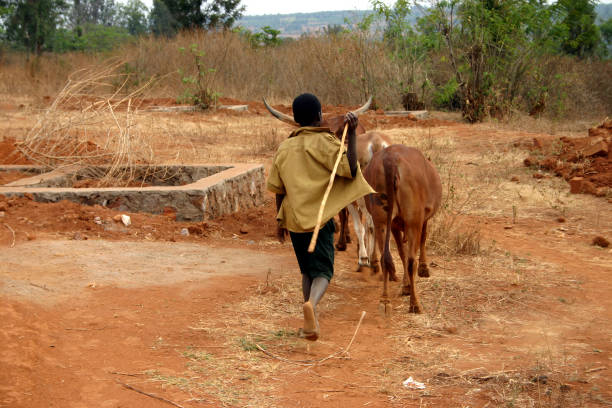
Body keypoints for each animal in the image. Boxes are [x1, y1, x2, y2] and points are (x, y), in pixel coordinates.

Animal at [360, 145, 442, 314]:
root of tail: (390, 159)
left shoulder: (395, 226)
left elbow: (401, 252)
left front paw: (405, 285)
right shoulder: (422, 220)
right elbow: (422, 240)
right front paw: (423, 270)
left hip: (381, 220)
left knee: (386, 258)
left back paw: (385, 301)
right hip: (412, 222)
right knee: (411, 261)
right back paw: (415, 304)